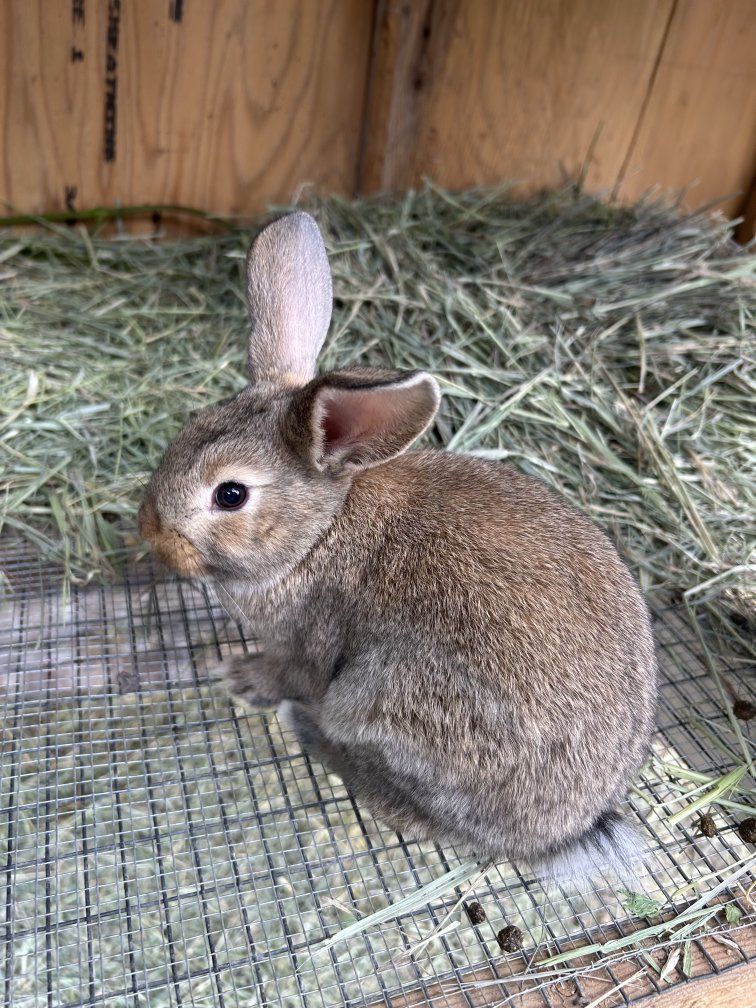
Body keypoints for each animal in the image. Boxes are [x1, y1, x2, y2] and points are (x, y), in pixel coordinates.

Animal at [138, 211, 657, 880]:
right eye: (187, 428)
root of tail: (560, 834)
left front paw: (242, 679)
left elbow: (287, 672)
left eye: (230, 495)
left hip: (385, 702)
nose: (150, 533)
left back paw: (308, 729)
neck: (319, 531)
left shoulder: (306, 639)